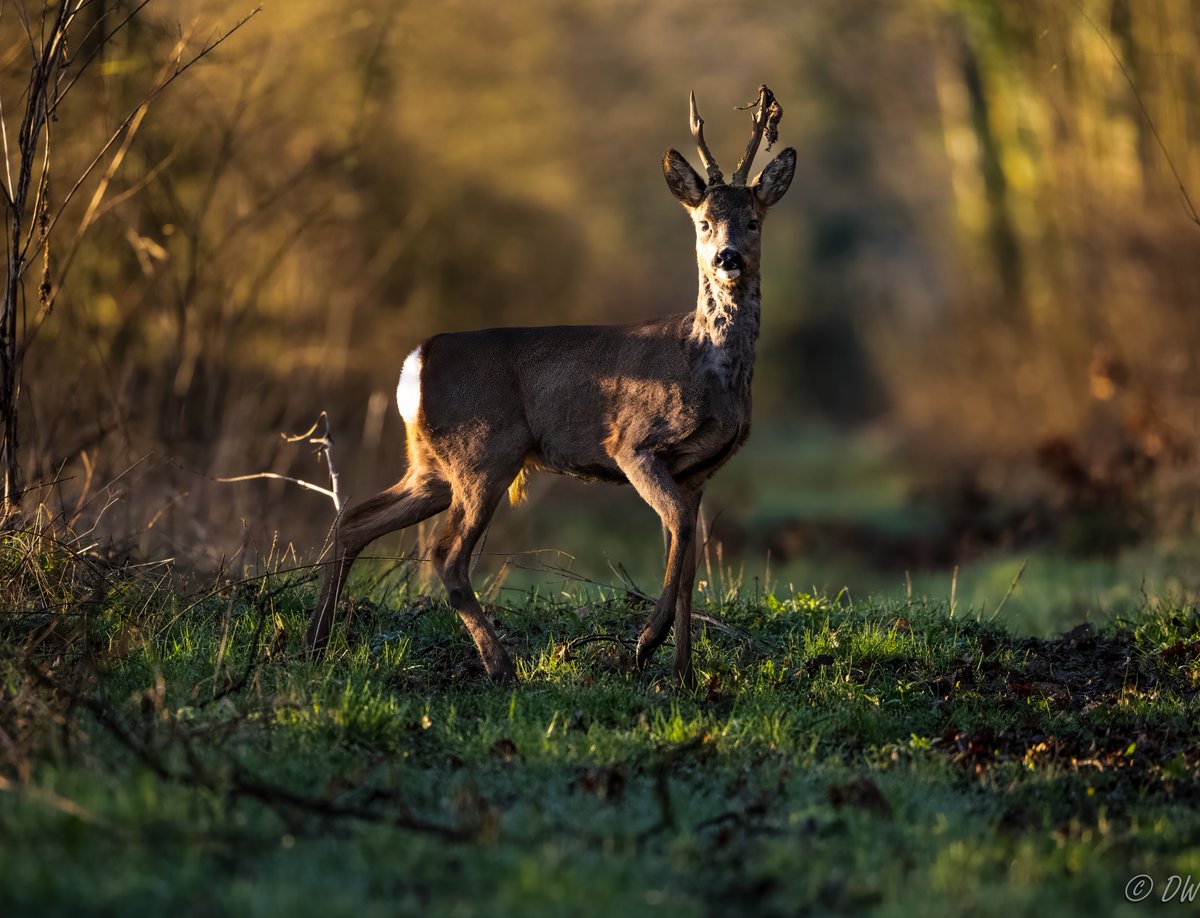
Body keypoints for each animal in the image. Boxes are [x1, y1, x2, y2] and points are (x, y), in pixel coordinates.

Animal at [307, 85, 796, 686]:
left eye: (752, 220)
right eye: (703, 222)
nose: (727, 258)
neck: (707, 365)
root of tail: (415, 363)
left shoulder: (699, 471)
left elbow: (686, 563)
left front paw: (682, 673)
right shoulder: (633, 444)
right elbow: (681, 533)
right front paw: (646, 644)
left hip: (431, 465)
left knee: (353, 520)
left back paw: (314, 642)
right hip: (484, 454)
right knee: (446, 555)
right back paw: (500, 665)